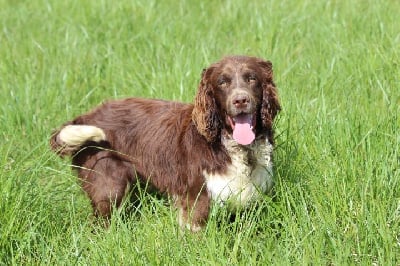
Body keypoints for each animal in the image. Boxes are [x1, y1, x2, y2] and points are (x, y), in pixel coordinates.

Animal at [50, 55, 280, 231]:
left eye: (252, 78)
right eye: (222, 82)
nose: (240, 100)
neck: (229, 144)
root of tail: (85, 117)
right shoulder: (196, 198)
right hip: (108, 185)